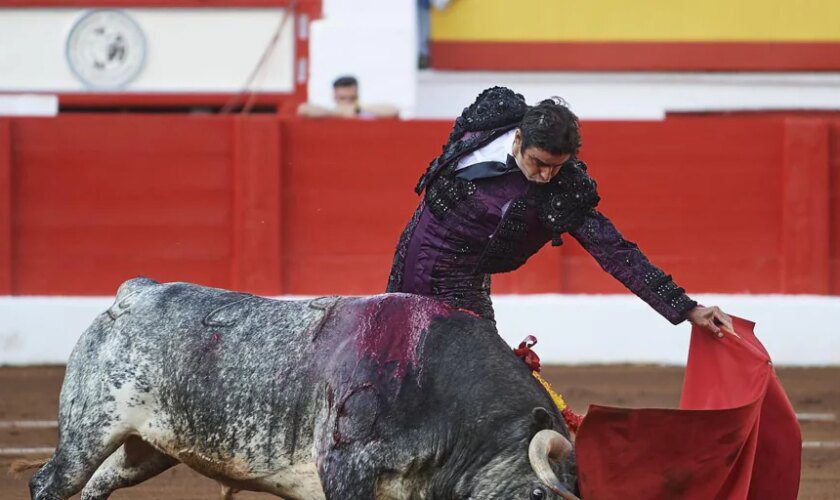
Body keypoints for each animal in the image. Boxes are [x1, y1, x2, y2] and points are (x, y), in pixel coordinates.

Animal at [26, 280, 576, 498]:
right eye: (537, 495)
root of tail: (134, 293)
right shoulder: (346, 469)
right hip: (89, 430)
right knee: (50, 482)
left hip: (149, 448)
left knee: (99, 483)